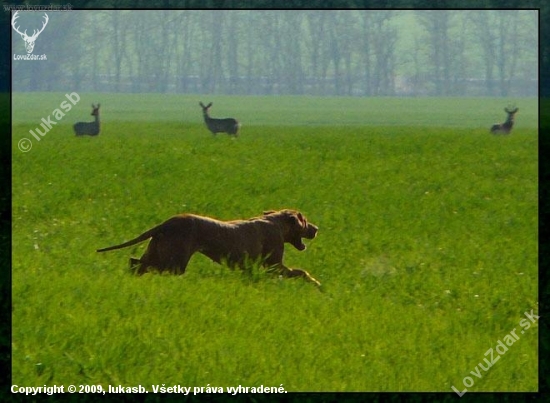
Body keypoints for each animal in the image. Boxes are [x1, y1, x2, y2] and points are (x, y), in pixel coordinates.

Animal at [97, 208, 322, 288]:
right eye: (305, 222)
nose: (316, 229)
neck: (276, 221)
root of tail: (167, 223)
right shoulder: (274, 266)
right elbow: (301, 272)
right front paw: (316, 283)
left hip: (159, 252)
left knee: (135, 263)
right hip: (175, 262)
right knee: (143, 266)